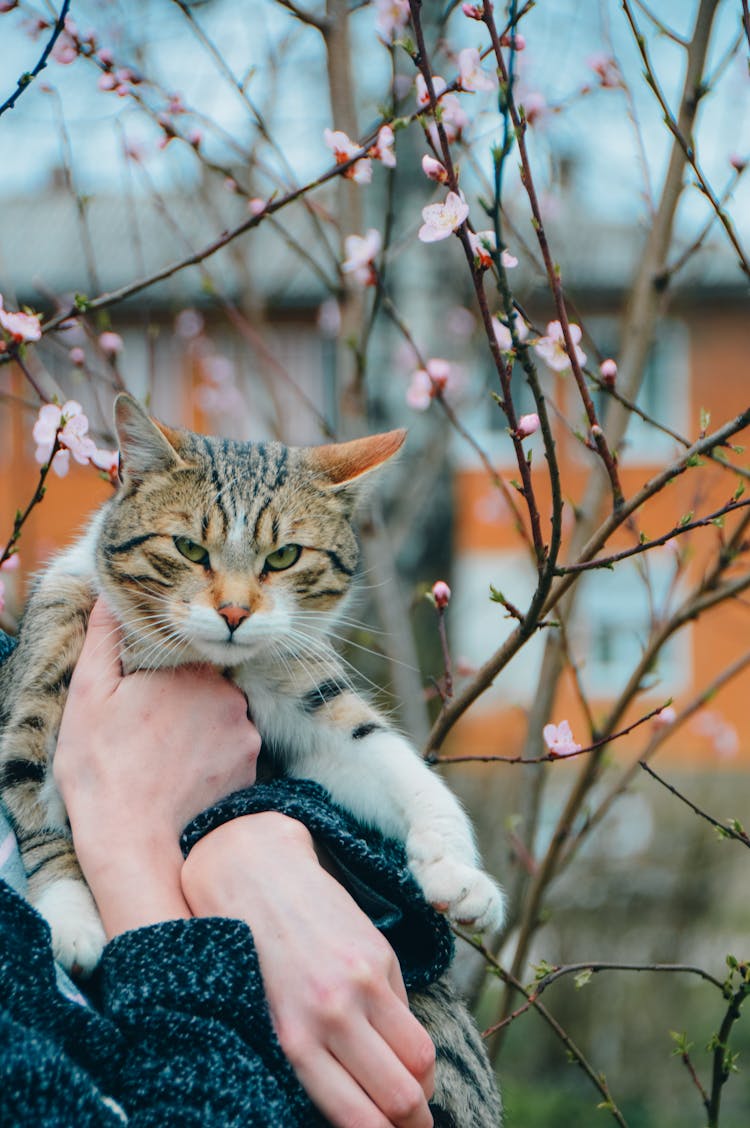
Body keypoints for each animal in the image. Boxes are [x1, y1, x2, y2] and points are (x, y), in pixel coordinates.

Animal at [1, 392, 503, 1123]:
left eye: (285, 556)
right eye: (188, 548)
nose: (235, 613)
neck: (201, 663)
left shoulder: (303, 695)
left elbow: (385, 758)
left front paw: (460, 874)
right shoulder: (40, 676)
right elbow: (33, 797)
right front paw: (69, 916)